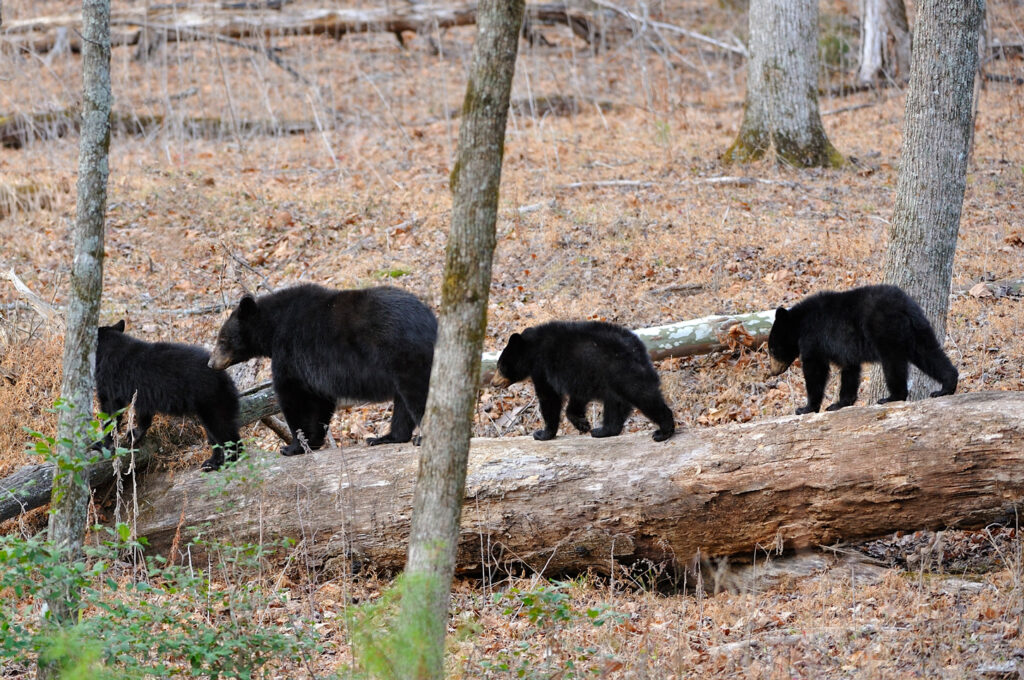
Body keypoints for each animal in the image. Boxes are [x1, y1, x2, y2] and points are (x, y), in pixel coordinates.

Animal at [96, 319, 243, 471]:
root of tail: (225, 377)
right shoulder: (144, 393)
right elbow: (143, 414)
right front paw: (134, 434)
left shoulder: (110, 380)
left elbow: (111, 411)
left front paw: (104, 443)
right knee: (214, 433)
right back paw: (212, 461)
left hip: (211, 400)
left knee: (222, 429)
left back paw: (230, 459)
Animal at [207, 284, 436, 454]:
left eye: (223, 339)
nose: (211, 363)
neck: (273, 327)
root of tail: (431, 321)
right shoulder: (315, 369)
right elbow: (319, 400)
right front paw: (314, 441)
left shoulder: (289, 352)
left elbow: (293, 396)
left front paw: (293, 447)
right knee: (403, 403)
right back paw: (386, 437)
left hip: (405, 354)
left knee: (418, 394)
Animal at [491, 323, 675, 444]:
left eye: (500, 366)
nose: (493, 383)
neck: (532, 349)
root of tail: (639, 348)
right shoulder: (581, 375)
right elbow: (577, 398)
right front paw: (582, 423)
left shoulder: (542, 368)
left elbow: (549, 398)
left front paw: (543, 433)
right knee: (615, 403)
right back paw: (604, 431)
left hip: (622, 371)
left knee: (643, 395)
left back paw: (663, 431)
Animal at [770, 282, 958, 413]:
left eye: (772, 350)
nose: (772, 372)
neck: (799, 323)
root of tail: (904, 306)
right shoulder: (845, 348)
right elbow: (850, 370)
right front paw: (840, 404)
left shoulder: (813, 338)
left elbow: (816, 370)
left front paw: (806, 408)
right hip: (918, 329)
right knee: (929, 352)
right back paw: (946, 387)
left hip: (886, 330)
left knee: (893, 363)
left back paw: (892, 397)